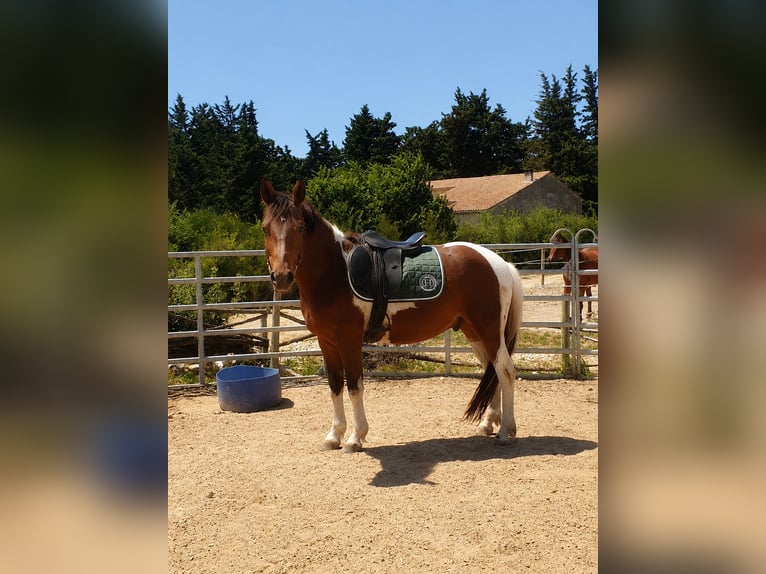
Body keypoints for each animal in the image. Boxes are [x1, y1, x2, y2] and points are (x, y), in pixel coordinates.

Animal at [260, 180, 524, 452]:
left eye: (300, 227)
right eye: (265, 228)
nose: (282, 277)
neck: (335, 273)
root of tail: (499, 263)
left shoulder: (349, 341)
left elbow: (354, 386)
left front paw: (355, 438)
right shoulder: (327, 342)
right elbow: (335, 386)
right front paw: (334, 436)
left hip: (490, 331)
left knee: (505, 371)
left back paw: (506, 430)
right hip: (474, 332)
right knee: (491, 372)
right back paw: (488, 423)